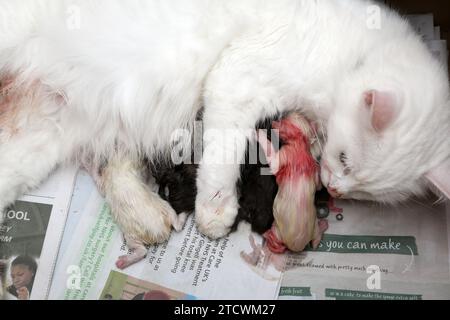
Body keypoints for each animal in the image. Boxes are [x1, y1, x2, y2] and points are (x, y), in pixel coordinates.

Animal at [0, 0, 448, 252]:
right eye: (344, 159)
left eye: (365, 194)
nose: (333, 188)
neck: (349, 58)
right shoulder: (235, 77)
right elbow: (221, 158)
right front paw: (215, 213)